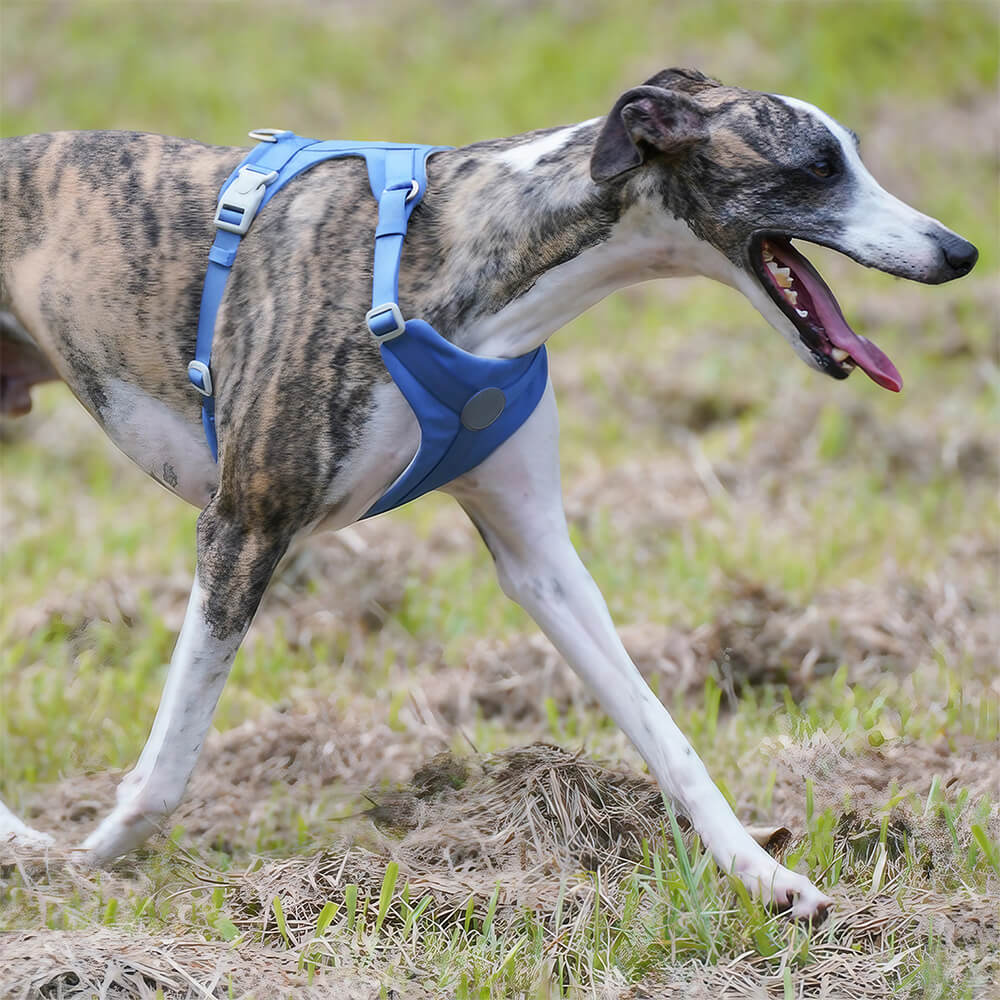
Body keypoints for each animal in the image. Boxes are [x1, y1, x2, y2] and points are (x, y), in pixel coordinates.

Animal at [0, 66, 976, 916]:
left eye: (854, 155)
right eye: (817, 168)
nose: (961, 250)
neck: (473, 266)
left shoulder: (539, 555)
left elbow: (665, 731)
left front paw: (765, 875)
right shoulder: (243, 528)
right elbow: (167, 766)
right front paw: (89, 855)